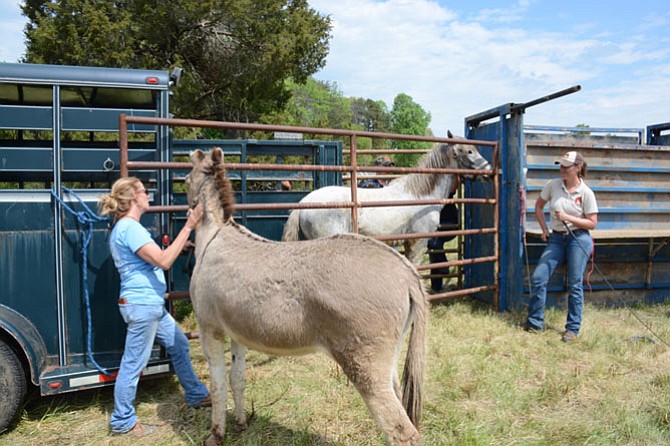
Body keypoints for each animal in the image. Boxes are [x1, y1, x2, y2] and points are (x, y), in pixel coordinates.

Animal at [188, 148, 430, 444]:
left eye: (184, 179)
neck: (214, 235)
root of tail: (407, 272)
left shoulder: (209, 328)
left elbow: (218, 383)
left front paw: (215, 435)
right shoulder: (236, 332)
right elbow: (237, 378)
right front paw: (241, 423)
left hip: (365, 364)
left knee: (401, 430)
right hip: (390, 358)